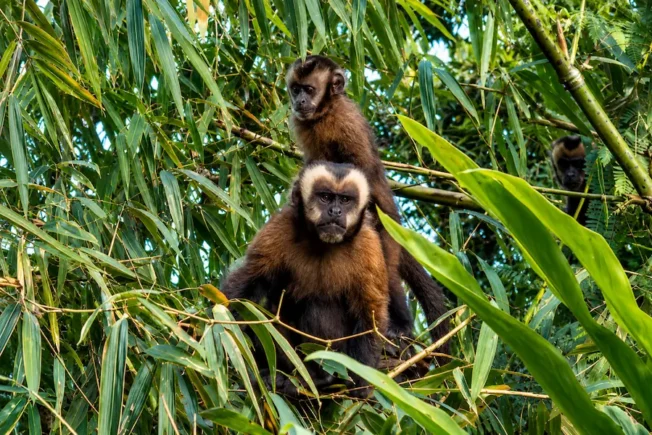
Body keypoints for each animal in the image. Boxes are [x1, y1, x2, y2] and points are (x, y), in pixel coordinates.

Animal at [221, 161, 389, 397]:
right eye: (325, 197)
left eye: (345, 200)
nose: (335, 211)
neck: (323, 243)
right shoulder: (281, 226)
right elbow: (251, 282)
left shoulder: (369, 245)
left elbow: (370, 312)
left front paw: (360, 382)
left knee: (317, 307)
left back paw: (320, 378)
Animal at [285, 55, 448, 348]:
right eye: (295, 89)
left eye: (309, 90)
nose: (299, 101)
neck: (327, 110)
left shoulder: (344, 122)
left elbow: (361, 174)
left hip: (389, 232)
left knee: (388, 269)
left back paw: (401, 325)